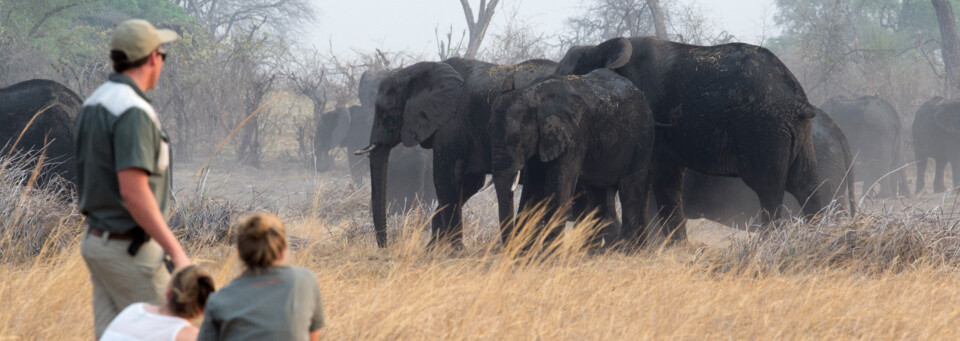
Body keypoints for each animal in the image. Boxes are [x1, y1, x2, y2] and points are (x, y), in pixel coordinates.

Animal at [356, 57, 560, 246]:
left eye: (384, 113)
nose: (386, 248)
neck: (417, 70)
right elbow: (470, 182)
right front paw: (432, 250)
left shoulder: (451, 124)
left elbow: (447, 177)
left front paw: (453, 251)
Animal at [492, 68, 656, 244]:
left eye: (519, 139)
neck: (535, 95)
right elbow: (532, 191)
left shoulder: (575, 137)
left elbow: (557, 194)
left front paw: (551, 251)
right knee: (598, 196)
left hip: (643, 140)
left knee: (629, 192)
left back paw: (625, 248)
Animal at [556, 35, 824, 240]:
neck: (602, 48)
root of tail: (797, 97)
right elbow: (669, 179)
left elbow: (659, 179)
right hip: (795, 131)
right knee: (806, 185)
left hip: (764, 130)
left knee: (770, 190)